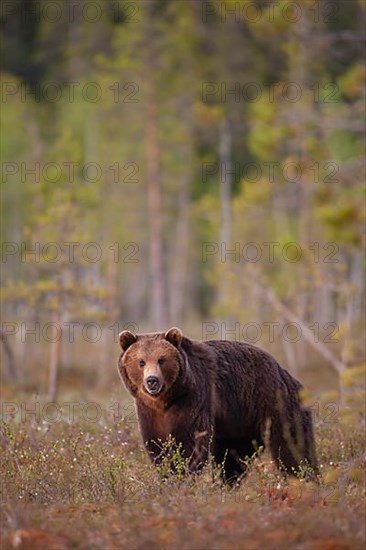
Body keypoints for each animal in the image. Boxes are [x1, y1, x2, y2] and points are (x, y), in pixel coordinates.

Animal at [118, 328, 318, 484]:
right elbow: (157, 443)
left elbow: (192, 442)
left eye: (161, 359)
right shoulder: (149, 412)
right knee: (232, 457)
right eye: (141, 362)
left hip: (276, 405)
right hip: (238, 424)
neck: (166, 400)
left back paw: (305, 479)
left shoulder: (194, 400)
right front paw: (167, 474)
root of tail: (287, 374)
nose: (152, 380)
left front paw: (181, 475)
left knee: (293, 447)